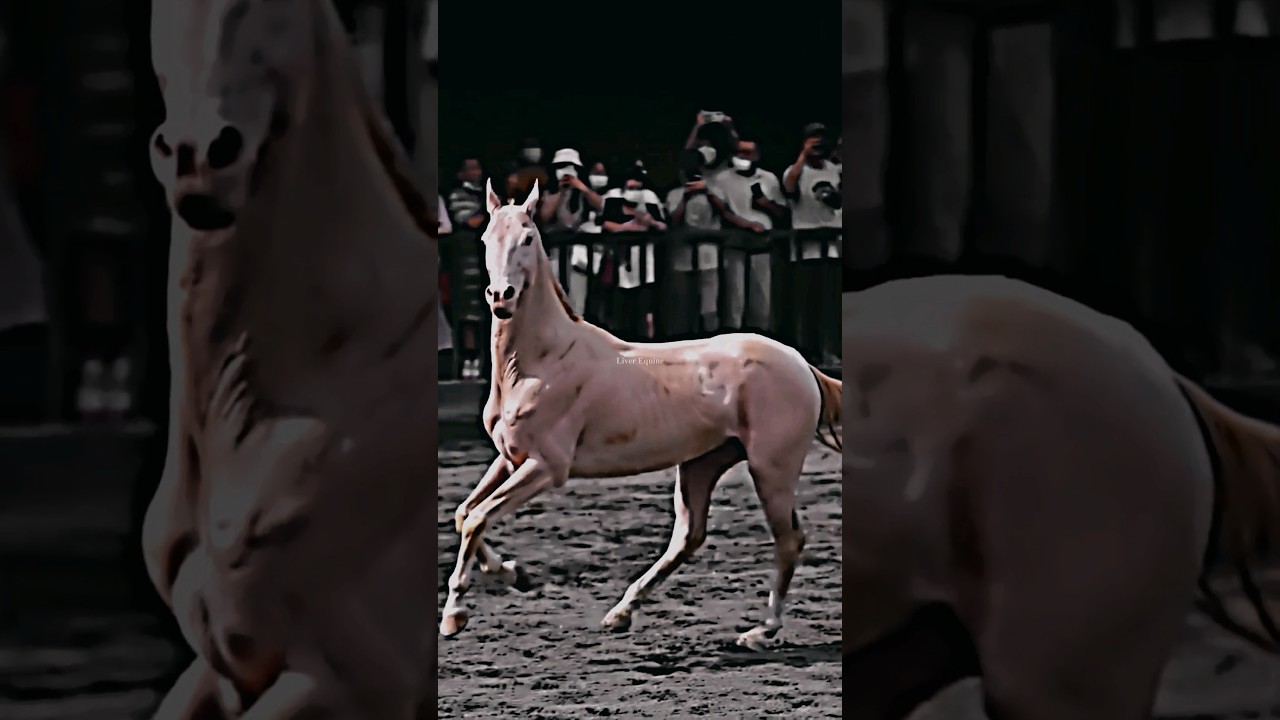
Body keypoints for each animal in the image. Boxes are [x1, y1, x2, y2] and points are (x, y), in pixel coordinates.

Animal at [439, 178, 843, 649]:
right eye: (487, 239)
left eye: (527, 238)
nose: (501, 297)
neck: (541, 362)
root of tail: (801, 363)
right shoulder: (510, 458)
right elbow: (464, 513)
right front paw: (513, 574)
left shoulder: (546, 466)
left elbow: (477, 518)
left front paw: (455, 615)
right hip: (702, 463)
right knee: (688, 537)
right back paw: (621, 612)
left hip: (771, 467)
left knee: (788, 539)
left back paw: (762, 630)